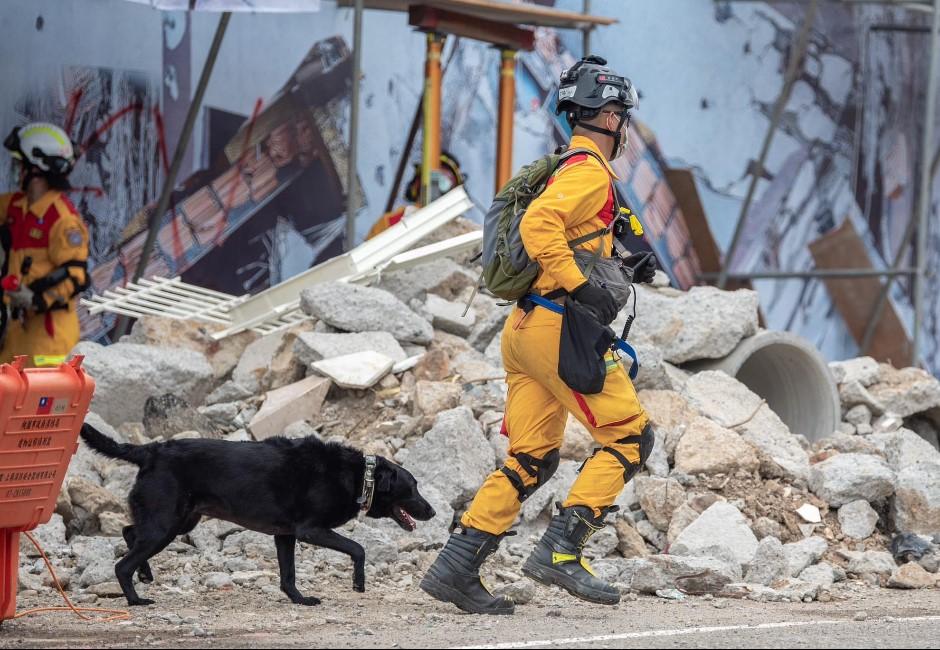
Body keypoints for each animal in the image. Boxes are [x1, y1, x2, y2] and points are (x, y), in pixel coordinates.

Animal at [79, 422, 436, 604]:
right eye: (413, 487)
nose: (432, 511)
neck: (361, 475)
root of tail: (149, 451)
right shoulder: (310, 530)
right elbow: (358, 549)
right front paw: (358, 583)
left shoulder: (285, 535)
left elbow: (288, 575)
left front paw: (298, 599)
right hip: (166, 524)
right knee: (123, 563)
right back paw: (136, 598)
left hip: (178, 521)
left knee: (129, 532)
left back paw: (145, 574)